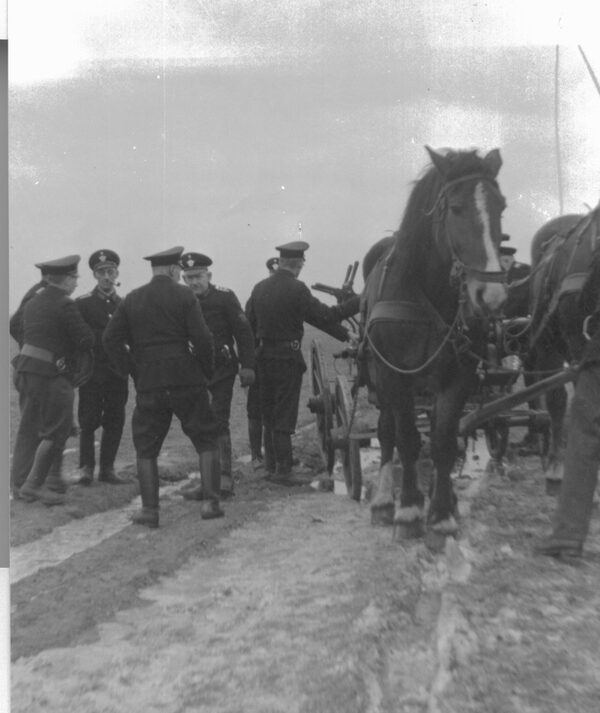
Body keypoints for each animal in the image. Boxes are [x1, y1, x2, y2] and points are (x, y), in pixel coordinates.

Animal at [360, 146, 506, 540]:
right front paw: (409, 508)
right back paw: (383, 501)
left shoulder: (459, 375)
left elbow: (443, 441)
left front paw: (441, 511)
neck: (426, 290)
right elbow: (407, 438)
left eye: (501, 206)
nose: (491, 295)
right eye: (455, 208)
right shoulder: (394, 375)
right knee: (387, 431)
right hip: (378, 379)